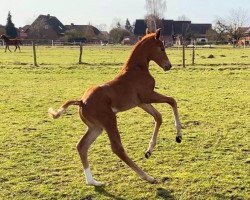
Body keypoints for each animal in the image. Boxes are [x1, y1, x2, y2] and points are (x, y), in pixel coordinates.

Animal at [47, 28, 183, 186]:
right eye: (161, 48)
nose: (168, 66)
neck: (137, 69)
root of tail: (81, 101)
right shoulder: (148, 95)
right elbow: (172, 101)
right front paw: (178, 135)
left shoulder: (141, 102)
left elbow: (158, 117)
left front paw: (149, 151)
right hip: (110, 121)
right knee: (117, 148)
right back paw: (146, 176)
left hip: (96, 127)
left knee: (82, 146)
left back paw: (93, 182)